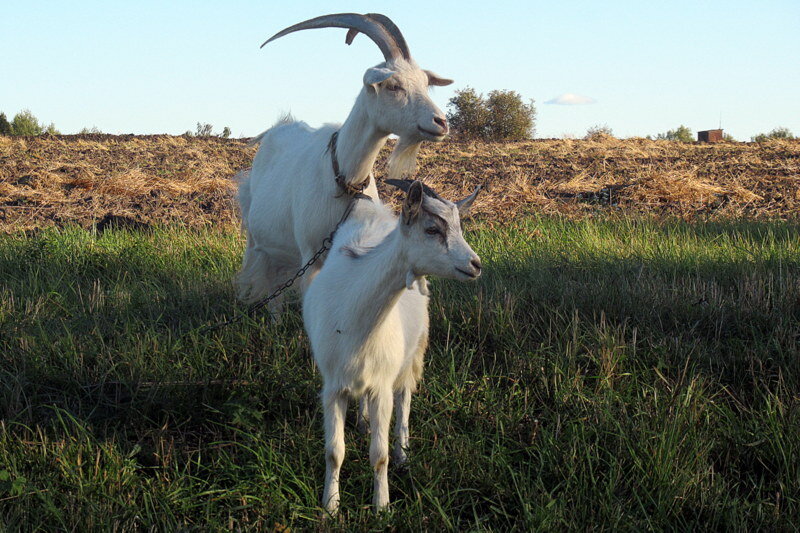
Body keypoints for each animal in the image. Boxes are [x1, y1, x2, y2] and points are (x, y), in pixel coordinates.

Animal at [236, 13, 456, 312]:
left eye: (425, 84)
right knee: (272, 290)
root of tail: (277, 128)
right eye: (394, 85)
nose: (441, 122)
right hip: (258, 238)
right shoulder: (310, 255)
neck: (344, 177)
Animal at [302, 179, 482, 512]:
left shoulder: (382, 387)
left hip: (414, 351)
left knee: (405, 399)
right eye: (432, 229)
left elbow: (379, 455)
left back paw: (403, 454)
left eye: (459, 227)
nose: (475, 265)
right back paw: (363, 422)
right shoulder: (332, 386)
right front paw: (330, 507)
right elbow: (334, 452)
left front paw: (381, 507)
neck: (356, 319)